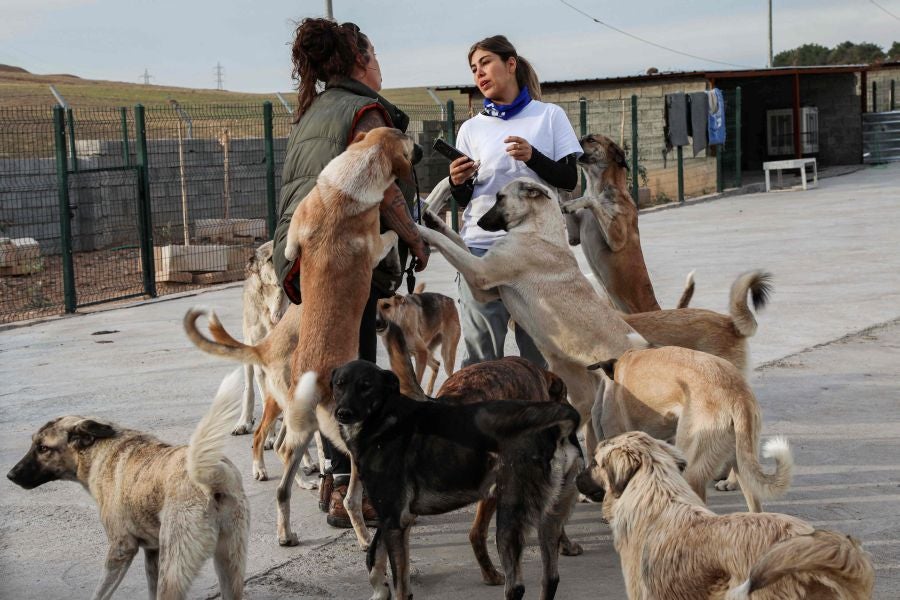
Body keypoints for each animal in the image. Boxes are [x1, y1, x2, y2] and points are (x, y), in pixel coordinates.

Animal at [332, 358, 584, 600]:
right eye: (339, 385)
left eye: (366, 386)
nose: (342, 413)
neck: (383, 419)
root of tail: (556, 431)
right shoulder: (392, 518)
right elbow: (374, 557)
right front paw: (379, 591)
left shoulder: (396, 520)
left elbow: (401, 587)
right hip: (548, 518)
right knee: (550, 579)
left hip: (510, 518)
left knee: (516, 587)